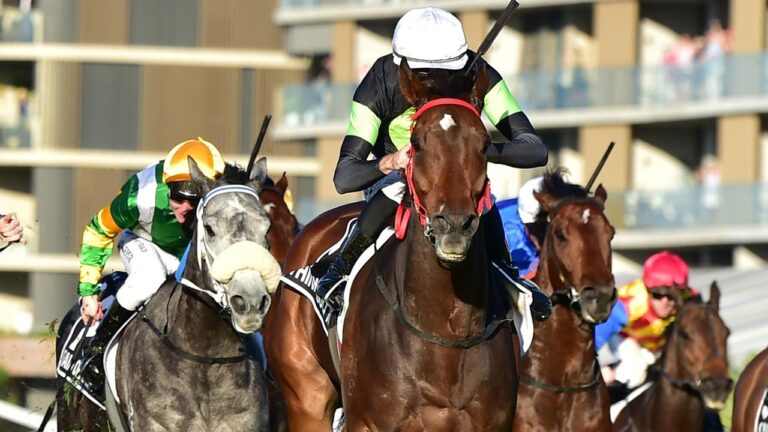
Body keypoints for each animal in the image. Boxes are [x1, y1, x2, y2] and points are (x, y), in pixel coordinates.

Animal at [265, 58, 521, 431]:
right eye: (416, 142)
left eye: (485, 143)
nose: (454, 226)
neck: (447, 335)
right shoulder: (368, 421)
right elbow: (347, 168)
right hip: (306, 395)